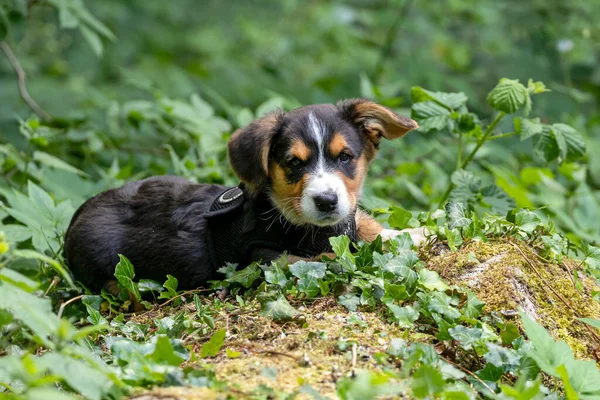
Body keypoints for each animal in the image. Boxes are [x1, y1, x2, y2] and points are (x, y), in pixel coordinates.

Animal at [63, 100, 422, 294]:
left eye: (345, 157)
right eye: (294, 163)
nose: (326, 201)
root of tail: (80, 213)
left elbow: (368, 229)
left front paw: (413, 233)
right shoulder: (269, 261)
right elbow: (335, 258)